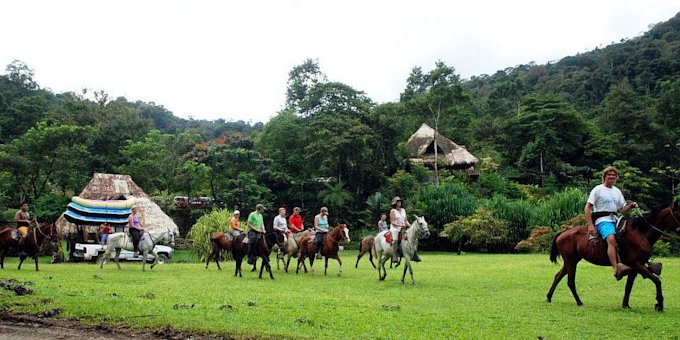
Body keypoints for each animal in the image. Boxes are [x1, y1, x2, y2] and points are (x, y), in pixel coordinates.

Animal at [544, 201, 680, 312]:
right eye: (679, 214)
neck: (641, 233)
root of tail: (563, 233)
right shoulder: (636, 263)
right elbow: (656, 280)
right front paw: (659, 304)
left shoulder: (634, 268)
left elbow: (628, 287)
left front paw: (626, 305)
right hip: (571, 261)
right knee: (570, 281)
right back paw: (579, 302)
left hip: (571, 261)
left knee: (558, 276)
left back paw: (549, 297)